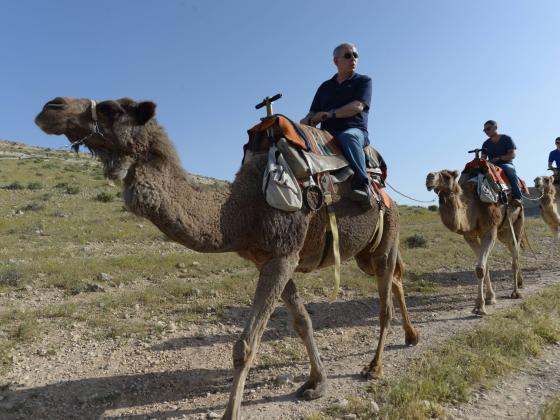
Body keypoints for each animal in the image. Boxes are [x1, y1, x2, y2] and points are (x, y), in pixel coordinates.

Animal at [35, 96, 418, 420]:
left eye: (111, 109)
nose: (50, 107)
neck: (240, 209)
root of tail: (385, 190)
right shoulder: (274, 259)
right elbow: (302, 322)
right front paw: (316, 383)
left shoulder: (282, 256)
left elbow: (245, 345)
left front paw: (230, 412)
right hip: (366, 252)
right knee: (396, 279)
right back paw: (411, 337)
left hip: (386, 235)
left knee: (384, 301)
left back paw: (375, 367)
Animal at [424, 170, 524, 316]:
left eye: (447, 176)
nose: (429, 177)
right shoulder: (470, 236)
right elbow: (484, 266)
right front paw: (490, 298)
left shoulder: (490, 229)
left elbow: (480, 268)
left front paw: (479, 307)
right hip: (503, 231)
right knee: (512, 248)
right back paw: (520, 283)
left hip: (517, 222)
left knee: (515, 253)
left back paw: (516, 292)